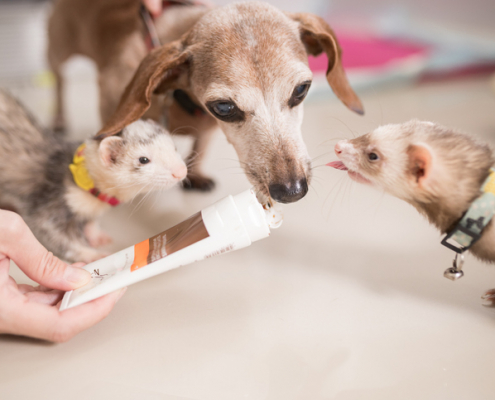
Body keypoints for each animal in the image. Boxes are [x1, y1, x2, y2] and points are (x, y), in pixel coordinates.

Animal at [48, 0, 362, 203]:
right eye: (224, 107)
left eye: (301, 90)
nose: (292, 191)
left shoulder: (208, 130)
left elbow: (199, 148)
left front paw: (194, 174)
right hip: (59, 50)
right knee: (59, 82)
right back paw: (58, 119)